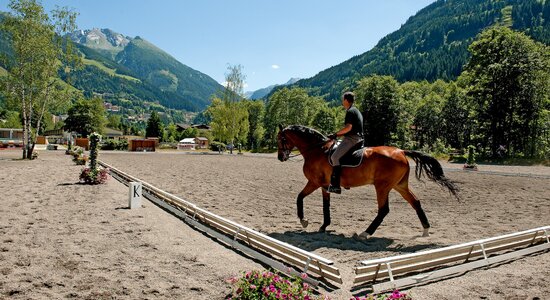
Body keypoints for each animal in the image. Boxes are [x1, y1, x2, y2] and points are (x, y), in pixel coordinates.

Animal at [276, 125, 462, 240]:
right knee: (415, 202)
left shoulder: (314, 182)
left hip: (382, 187)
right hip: (399, 185)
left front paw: (303, 220)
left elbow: (299, 197)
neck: (317, 150)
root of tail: (401, 151)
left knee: (384, 210)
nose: (280, 157)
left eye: (281, 139)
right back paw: (425, 230)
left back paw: (366, 233)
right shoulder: (324, 186)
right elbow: (325, 206)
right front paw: (324, 226)